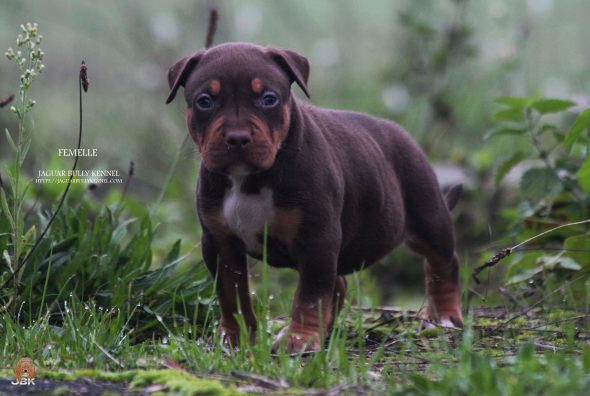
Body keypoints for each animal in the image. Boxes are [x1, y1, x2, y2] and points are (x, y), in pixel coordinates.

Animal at [168, 43, 468, 352]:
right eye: (205, 101)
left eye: (268, 99)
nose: (237, 137)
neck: (250, 180)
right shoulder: (219, 242)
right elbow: (231, 295)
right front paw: (234, 338)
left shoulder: (316, 239)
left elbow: (309, 295)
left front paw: (299, 338)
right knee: (338, 284)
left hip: (428, 215)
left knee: (443, 261)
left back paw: (444, 316)